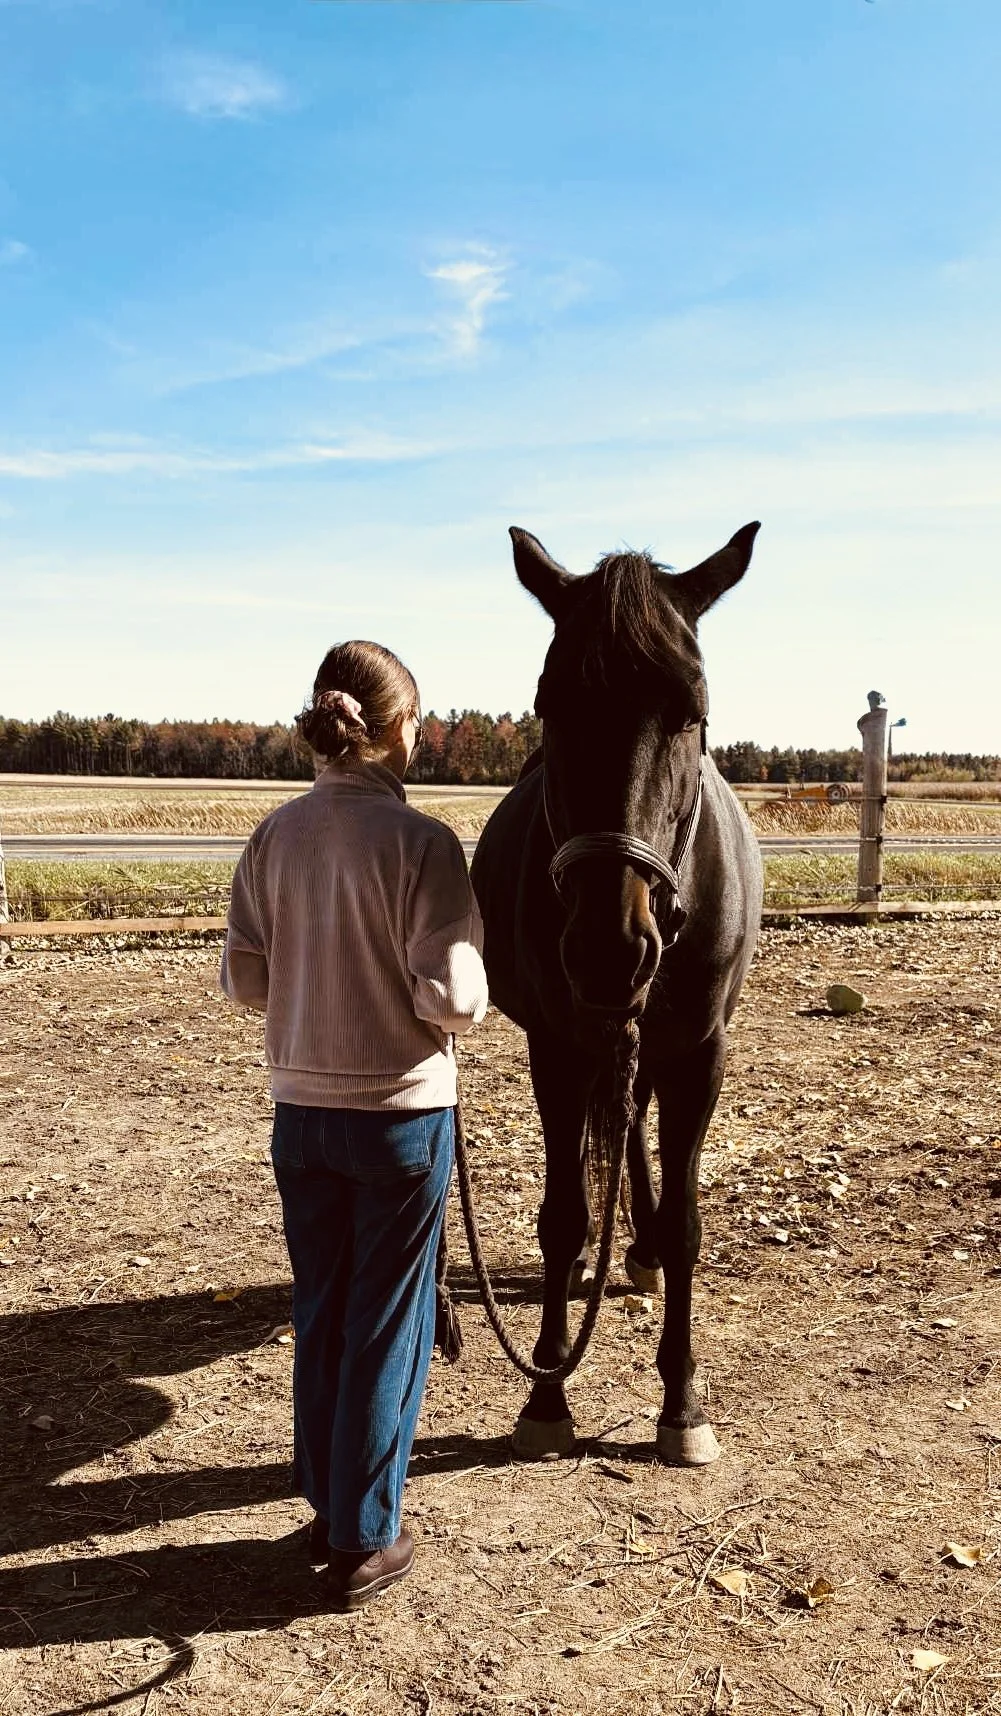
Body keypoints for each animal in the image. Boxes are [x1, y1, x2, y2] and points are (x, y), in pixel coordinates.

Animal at [469, 520, 763, 1463]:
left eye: (693, 710)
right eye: (550, 703)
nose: (608, 947)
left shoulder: (700, 1052)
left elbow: (687, 1222)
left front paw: (683, 1402)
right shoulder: (557, 1048)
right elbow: (562, 1215)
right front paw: (546, 1392)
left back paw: (637, 1248)